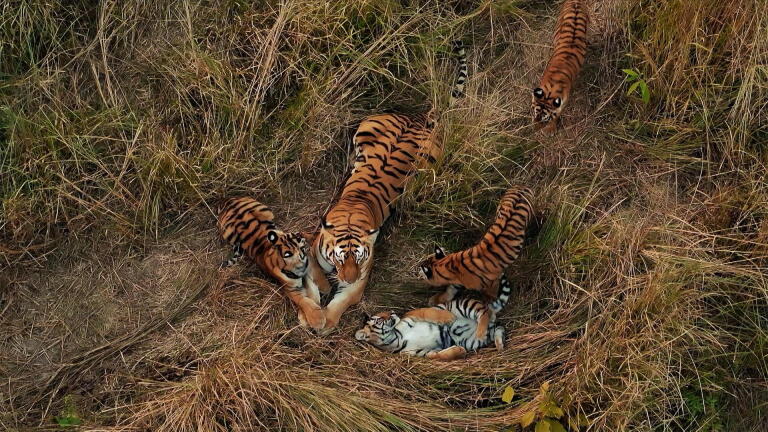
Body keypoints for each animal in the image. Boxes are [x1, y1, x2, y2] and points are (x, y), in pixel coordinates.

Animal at [217, 197, 331, 330]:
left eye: (299, 245)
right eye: (290, 253)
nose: (301, 238)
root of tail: (226, 200)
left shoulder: (309, 260)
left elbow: (317, 272)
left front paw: (326, 287)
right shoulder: (290, 289)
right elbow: (304, 301)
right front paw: (316, 319)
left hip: (266, 213)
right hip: (228, 234)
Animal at [307, 41, 469, 334]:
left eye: (359, 259)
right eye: (340, 258)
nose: (346, 278)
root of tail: (422, 118)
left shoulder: (360, 279)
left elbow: (342, 302)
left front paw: (327, 322)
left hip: (428, 159)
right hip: (365, 127)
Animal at [355, 274, 513, 361]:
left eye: (386, 312)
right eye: (379, 318)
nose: (393, 312)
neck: (395, 337)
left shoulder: (411, 315)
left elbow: (429, 312)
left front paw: (448, 318)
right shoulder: (420, 353)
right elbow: (436, 356)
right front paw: (459, 351)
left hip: (464, 305)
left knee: (484, 313)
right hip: (472, 341)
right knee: (498, 327)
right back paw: (499, 344)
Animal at [532, 0, 589, 134]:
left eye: (545, 119)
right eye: (535, 114)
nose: (534, 129)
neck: (551, 89)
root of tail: (576, 1)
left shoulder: (563, 101)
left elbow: (557, 114)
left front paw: (550, 129)